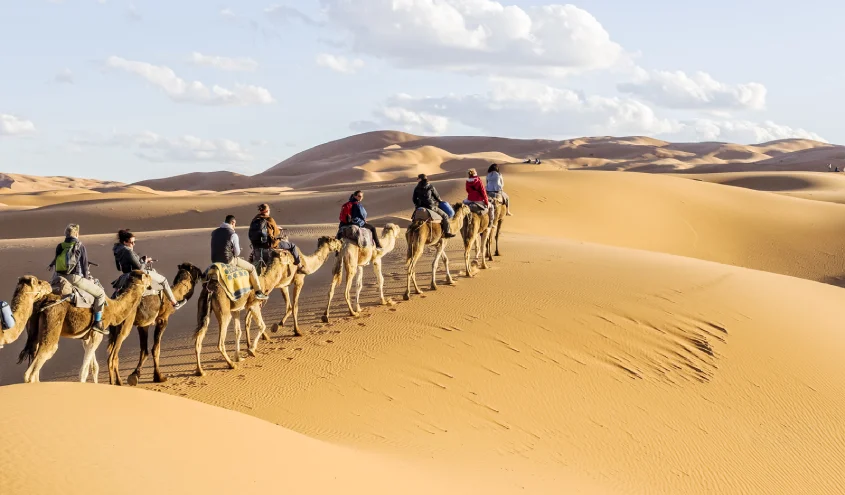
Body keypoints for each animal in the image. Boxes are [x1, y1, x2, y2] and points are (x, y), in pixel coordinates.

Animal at [19, 272, 152, 384]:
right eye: (145, 275)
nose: (151, 278)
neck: (113, 309)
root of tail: (42, 301)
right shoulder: (97, 334)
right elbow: (83, 372)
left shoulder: (87, 337)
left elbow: (94, 367)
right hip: (52, 320)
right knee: (38, 363)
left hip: (34, 332)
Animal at [193, 250, 292, 378]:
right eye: (285, 253)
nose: (293, 258)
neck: (264, 282)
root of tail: (210, 288)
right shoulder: (254, 304)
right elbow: (262, 326)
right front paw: (251, 350)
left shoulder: (236, 310)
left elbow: (237, 332)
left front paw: (238, 357)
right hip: (224, 312)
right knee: (220, 342)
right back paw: (231, 365)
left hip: (203, 309)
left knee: (199, 338)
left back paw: (200, 371)